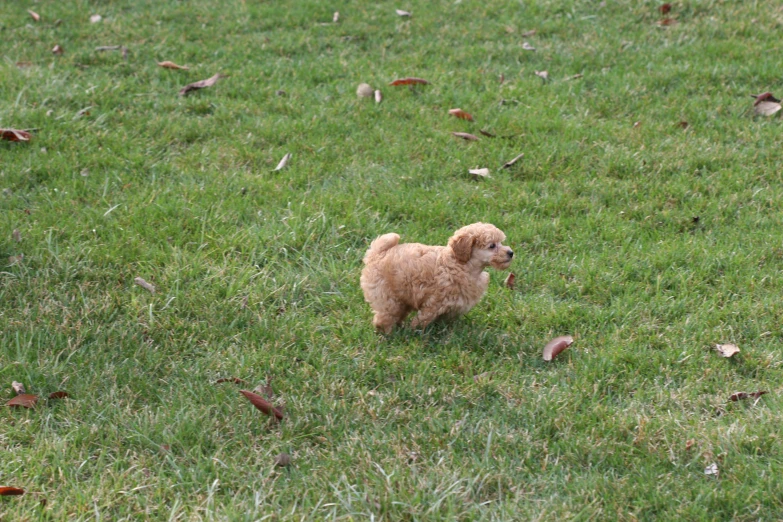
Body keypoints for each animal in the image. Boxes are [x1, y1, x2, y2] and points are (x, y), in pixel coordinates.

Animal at [358, 221, 512, 332]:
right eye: (492, 246)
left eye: (501, 243)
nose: (511, 252)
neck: (461, 264)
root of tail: (377, 254)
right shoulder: (434, 302)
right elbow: (424, 318)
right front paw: (416, 331)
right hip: (386, 294)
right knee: (385, 316)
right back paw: (389, 333)